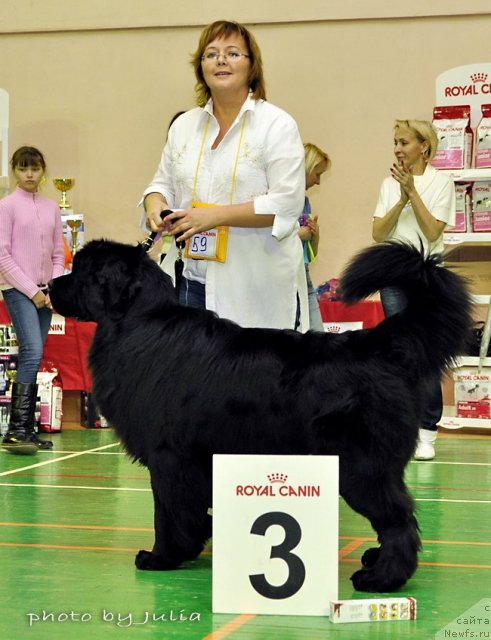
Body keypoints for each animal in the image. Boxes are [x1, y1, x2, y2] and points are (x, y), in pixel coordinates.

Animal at [49, 240, 472, 596]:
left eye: (82, 270)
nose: (50, 283)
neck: (139, 321)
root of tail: (378, 345)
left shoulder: (169, 456)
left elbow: (168, 511)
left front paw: (162, 556)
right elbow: (191, 509)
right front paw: (195, 542)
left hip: (360, 467)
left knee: (398, 519)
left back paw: (382, 578)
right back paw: (376, 559)